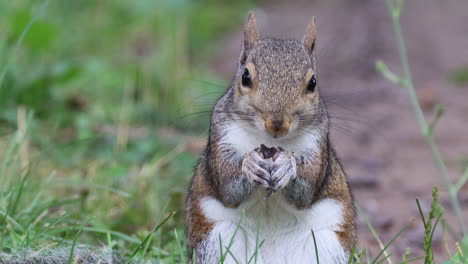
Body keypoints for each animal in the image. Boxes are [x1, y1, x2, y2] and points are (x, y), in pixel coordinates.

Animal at [185, 11, 356, 262]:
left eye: (313, 83)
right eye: (245, 76)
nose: (277, 124)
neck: (271, 143)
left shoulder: (317, 142)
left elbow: (307, 188)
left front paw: (288, 165)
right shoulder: (221, 135)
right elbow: (227, 185)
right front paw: (250, 164)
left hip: (326, 246)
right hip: (216, 241)